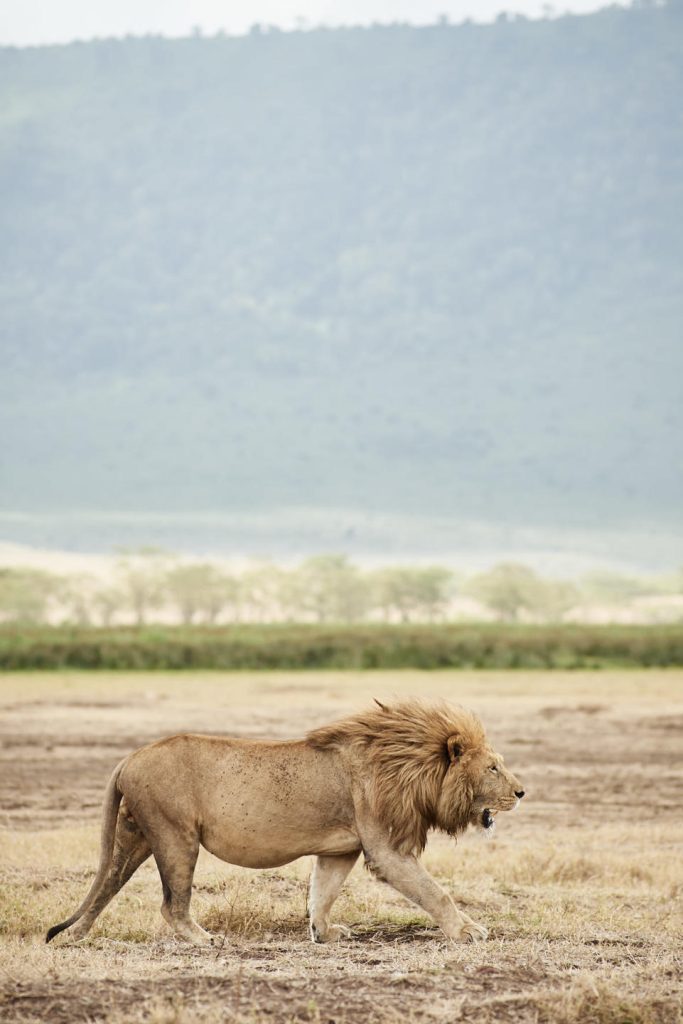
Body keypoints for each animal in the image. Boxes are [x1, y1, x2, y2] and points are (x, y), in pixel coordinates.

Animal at [46, 700, 524, 946]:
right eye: (493, 768)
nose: (522, 792)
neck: (410, 765)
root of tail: (129, 758)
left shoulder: (340, 849)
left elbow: (322, 894)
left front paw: (324, 933)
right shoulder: (386, 849)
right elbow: (435, 893)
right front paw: (469, 931)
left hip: (136, 836)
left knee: (107, 885)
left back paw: (75, 936)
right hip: (175, 835)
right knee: (171, 904)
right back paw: (204, 939)